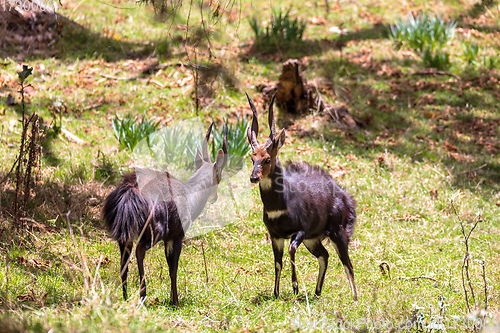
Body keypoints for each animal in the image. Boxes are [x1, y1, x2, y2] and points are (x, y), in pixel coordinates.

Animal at [103, 122, 229, 304]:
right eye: (219, 176)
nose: (215, 197)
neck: (189, 194)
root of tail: (130, 191)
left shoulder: (168, 238)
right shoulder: (176, 235)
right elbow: (173, 267)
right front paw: (175, 301)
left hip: (124, 232)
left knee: (124, 259)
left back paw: (125, 297)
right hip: (153, 231)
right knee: (139, 251)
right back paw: (142, 296)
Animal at [245, 93, 356, 300]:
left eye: (267, 159)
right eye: (252, 157)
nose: (254, 177)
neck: (280, 205)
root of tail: (345, 197)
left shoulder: (301, 230)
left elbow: (291, 249)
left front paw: (295, 286)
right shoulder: (276, 235)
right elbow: (277, 262)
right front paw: (276, 293)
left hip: (338, 231)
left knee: (348, 263)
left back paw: (355, 299)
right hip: (314, 239)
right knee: (325, 255)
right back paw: (317, 292)